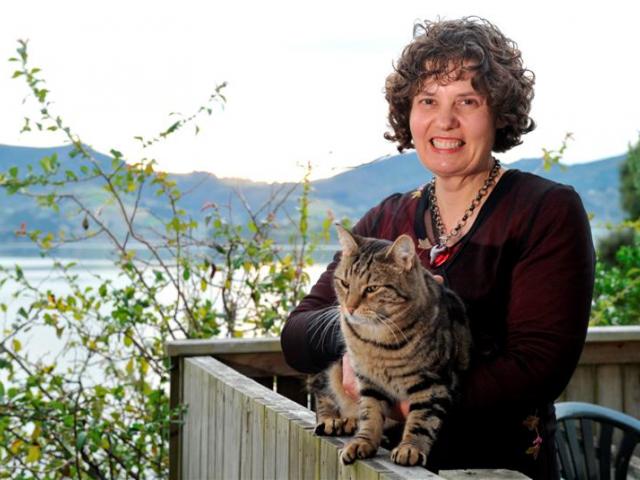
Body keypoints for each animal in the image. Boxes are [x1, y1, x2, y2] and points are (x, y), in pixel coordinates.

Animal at [308, 227, 472, 466]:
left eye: (372, 288)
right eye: (345, 284)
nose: (348, 307)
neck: (377, 342)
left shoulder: (435, 382)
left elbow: (423, 419)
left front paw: (410, 448)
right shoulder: (368, 380)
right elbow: (370, 414)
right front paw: (363, 442)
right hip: (328, 367)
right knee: (322, 390)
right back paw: (335, 421)